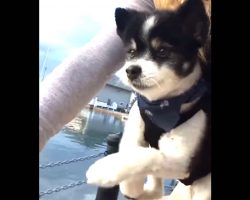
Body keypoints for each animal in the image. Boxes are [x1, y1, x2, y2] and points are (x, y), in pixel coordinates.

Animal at [87, 0, 210, 198]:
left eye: (162, 51)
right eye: (131, 52)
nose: (131, 70)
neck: (160, 106)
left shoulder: (184, 164)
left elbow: (148, 155)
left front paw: (106, 169)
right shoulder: (135, 125)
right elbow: (132, 153)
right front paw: (135, 186)